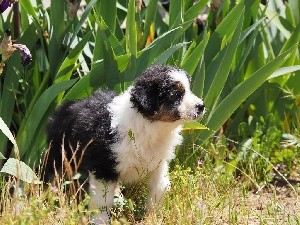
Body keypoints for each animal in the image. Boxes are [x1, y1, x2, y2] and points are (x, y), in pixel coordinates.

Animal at [45, 64, 205, 223]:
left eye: (189, 89)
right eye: (175, 94)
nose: (201, 106)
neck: (149, 126)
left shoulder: (158, 165)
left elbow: (160, 189)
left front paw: (152, 218)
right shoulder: (104, 167)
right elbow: (102, 201)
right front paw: (100, 221)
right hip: (58, 155)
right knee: (51, 176)